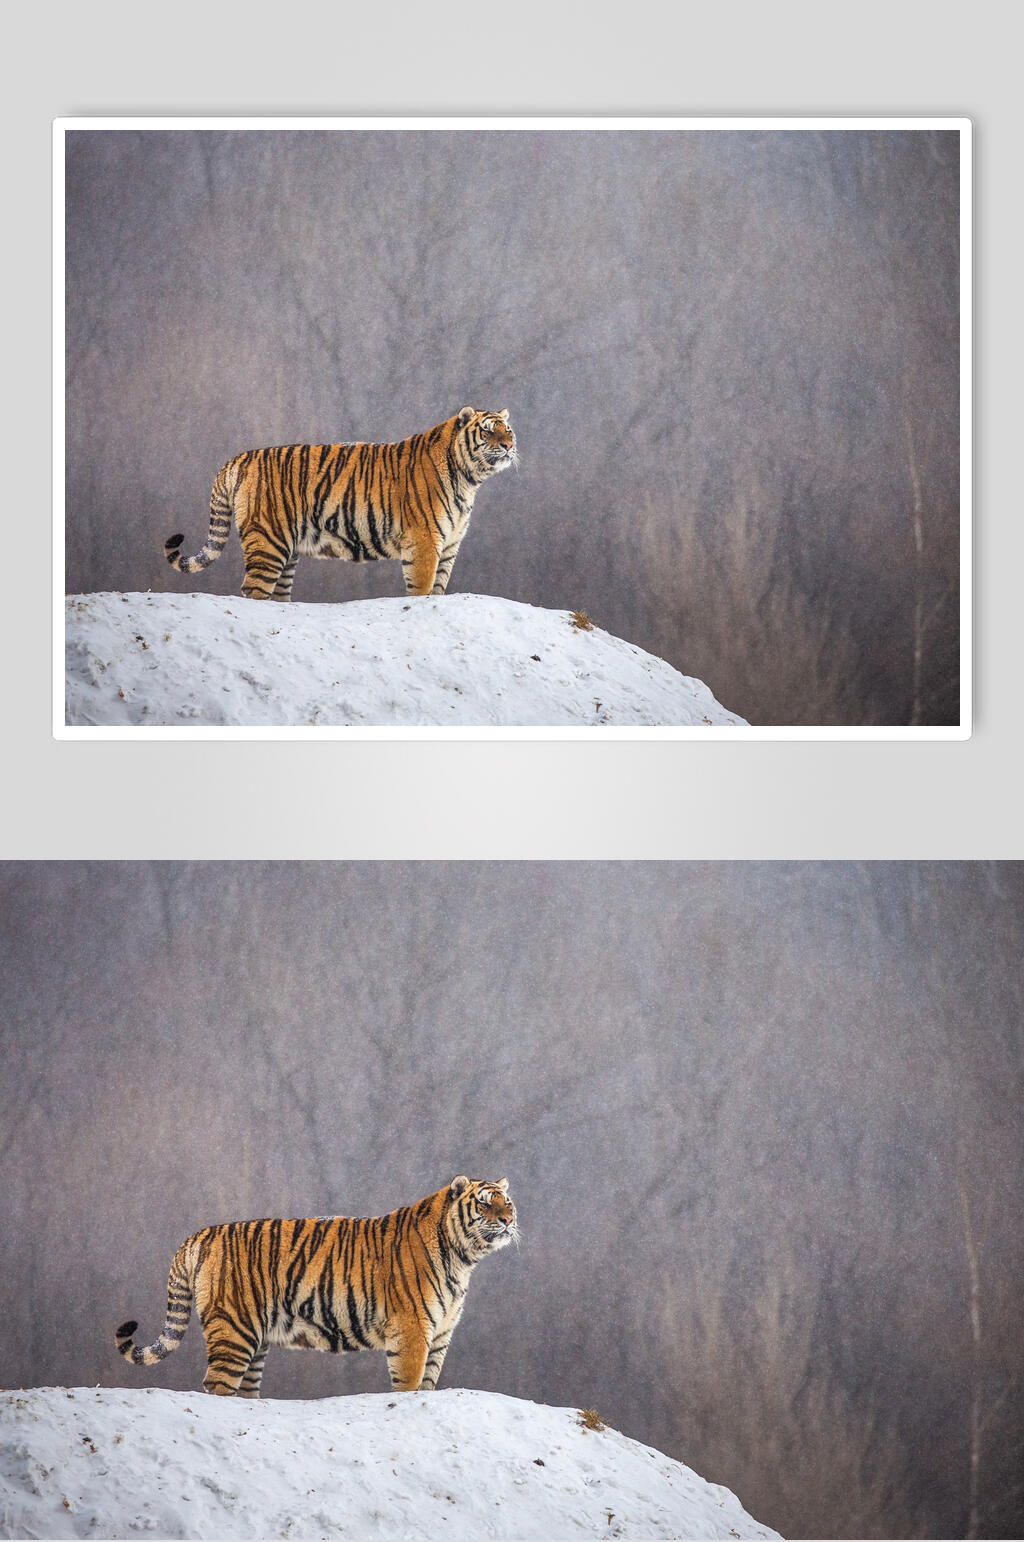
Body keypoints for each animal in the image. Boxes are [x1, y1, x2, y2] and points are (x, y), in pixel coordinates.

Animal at [115, 1175, 517, 1398]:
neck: (463, 1259)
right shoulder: (412, 1330)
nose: (508, 1220)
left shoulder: (441, 1333)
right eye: (485, 1204)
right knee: (217, 1384)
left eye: (507, 1201)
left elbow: (428, 1384)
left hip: (255, 1339)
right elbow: (409, 1383)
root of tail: (198, 1235)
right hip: (233, 1330)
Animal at [164, 407, 517, 601]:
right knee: (253, 590)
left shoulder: (450, 545)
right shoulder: (424, 543)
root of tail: (237, 459)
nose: (509, 446)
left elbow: (438, 589)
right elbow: (421, 589)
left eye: (508, 429)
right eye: (488, 431)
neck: (469, 480)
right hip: (267, 541)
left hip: (286, 550)